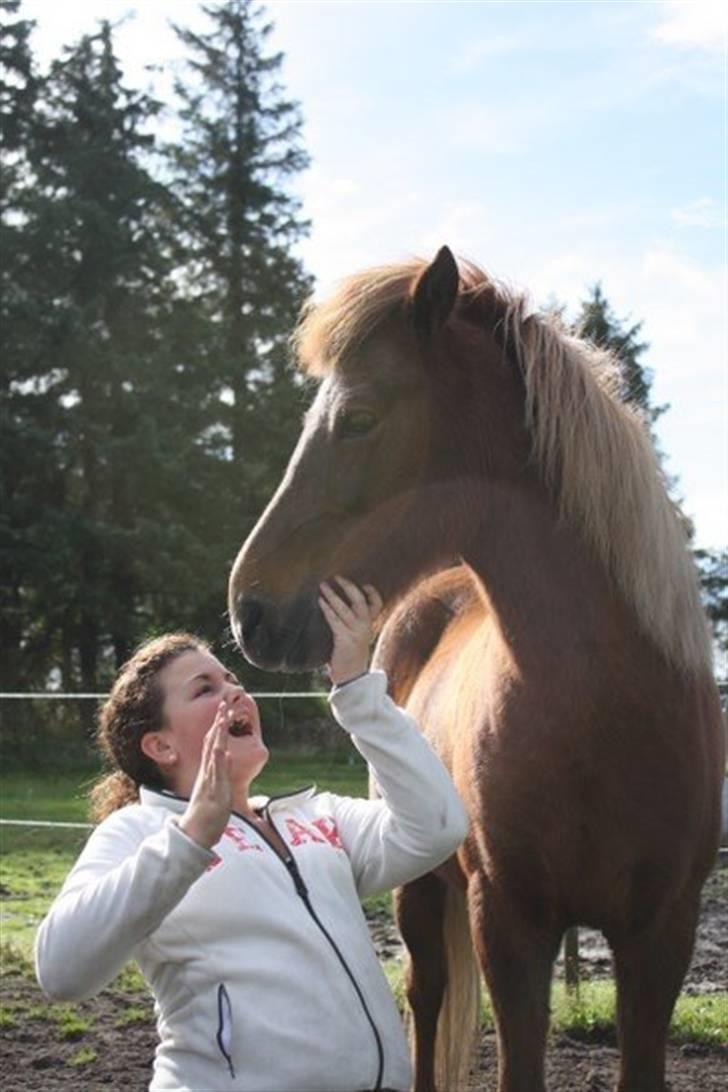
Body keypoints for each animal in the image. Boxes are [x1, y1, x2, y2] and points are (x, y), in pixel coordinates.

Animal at [229, 250, 724, 1092]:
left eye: (358, 418)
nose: (248, 609)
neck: (606, 713)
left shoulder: (664, 932)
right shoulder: (509, 922)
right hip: (421, 892)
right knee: (427, 997)